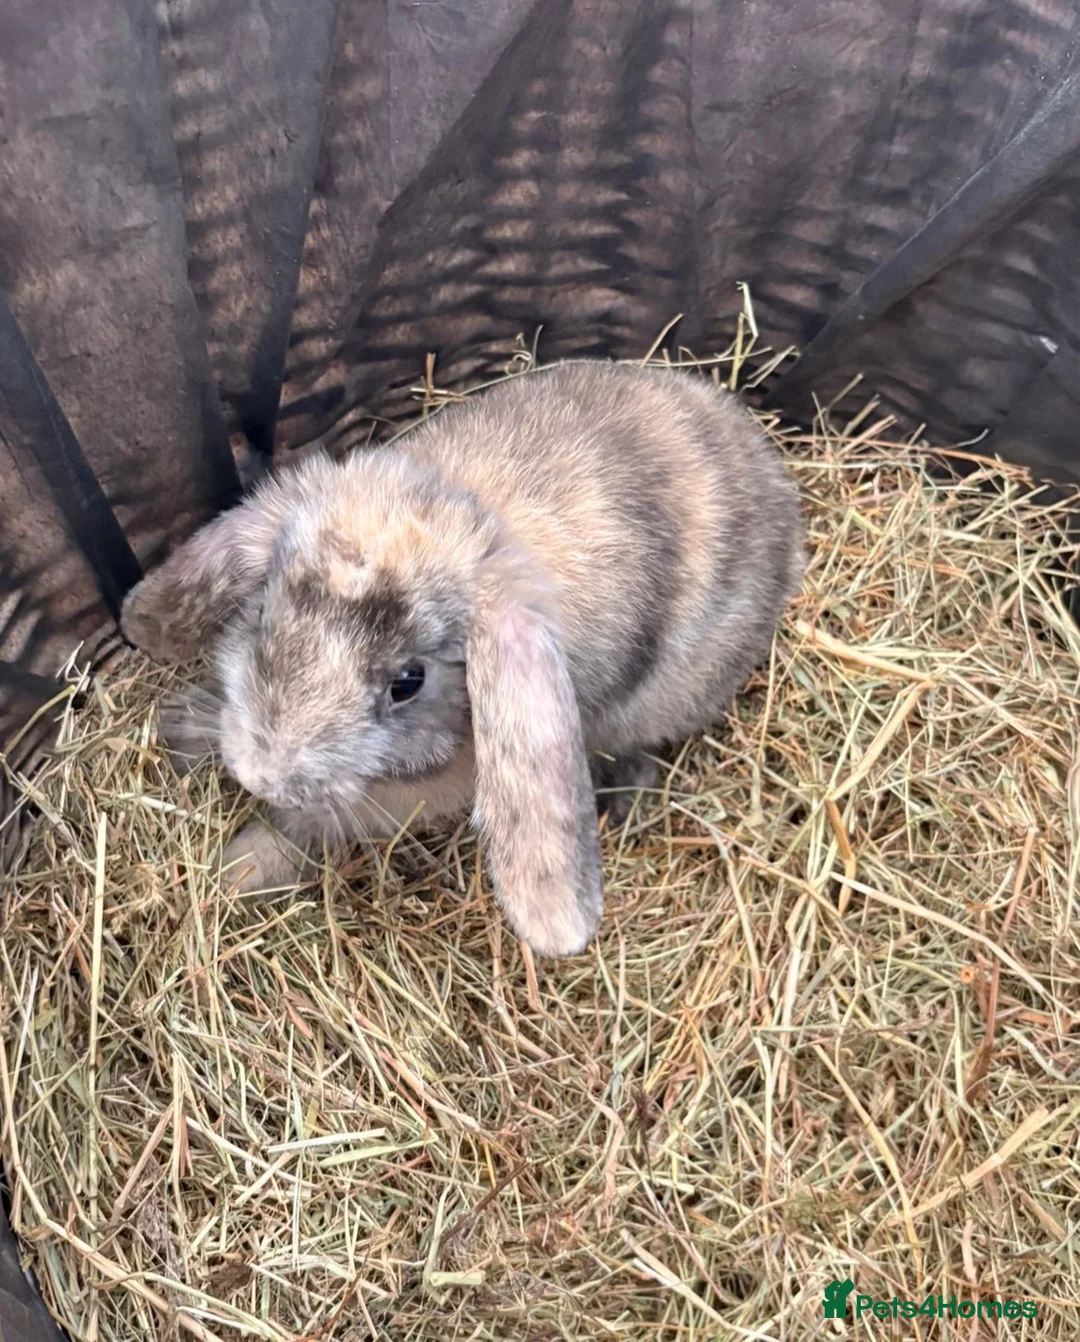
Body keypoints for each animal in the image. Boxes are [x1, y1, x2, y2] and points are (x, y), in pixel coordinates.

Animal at [121, 360, 805, 957]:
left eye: (408, 682)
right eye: (263, 613)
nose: (260, 775)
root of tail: (772, 474)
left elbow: (306, 826)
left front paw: (235, 870)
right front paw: (183, 726)